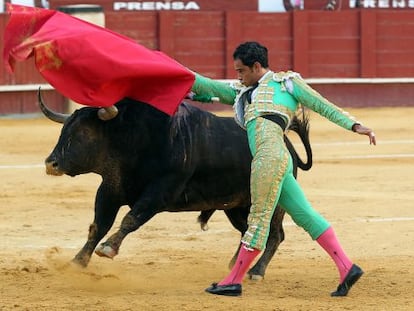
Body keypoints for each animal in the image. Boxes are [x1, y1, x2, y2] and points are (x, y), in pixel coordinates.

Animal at [38, 91, 310, 280]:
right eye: (64, 130)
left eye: (82, 134)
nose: (51, 163)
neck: (134, 140)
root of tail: (288, 145)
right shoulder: (110, 189)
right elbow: (98, 226)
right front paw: (77, 262)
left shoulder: (161, 192)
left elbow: (131, 218)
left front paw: (108, 248)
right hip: (236, 207)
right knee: (248, 231)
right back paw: (236, 265)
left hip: (275, 202)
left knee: (275, 234)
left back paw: (257, 271)